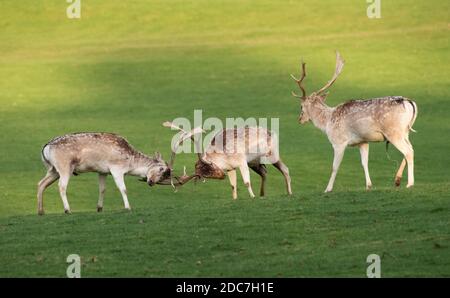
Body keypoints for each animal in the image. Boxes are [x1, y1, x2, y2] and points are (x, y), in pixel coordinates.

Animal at [163, 122, 294, 199]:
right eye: (204, 174)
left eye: (208, 168)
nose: (222, 176)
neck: (223, 154)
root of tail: (272, 132)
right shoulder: (231, 168)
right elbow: (233, 185)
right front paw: (235, 199)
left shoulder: (242, 161)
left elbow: (247, 182)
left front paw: (252, 196)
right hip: (254, 163)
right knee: (264, 173)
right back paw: (262, 195)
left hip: (272, 155)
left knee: (285, 169)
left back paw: (289, 192)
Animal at [292, 51, 418, 192]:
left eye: (301, 106)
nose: (300, 119)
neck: (328, 121)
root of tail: (409, 102)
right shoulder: (362, 141)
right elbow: (364, 163)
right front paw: (368, 185)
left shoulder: (339, 141)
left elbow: (334, 167)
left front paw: (328, 189)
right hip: (405, 131)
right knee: (411, 148)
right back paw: (397, 180)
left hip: (393, 132)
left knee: (408, 151)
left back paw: (410, 183)